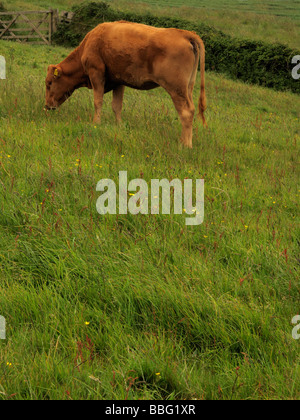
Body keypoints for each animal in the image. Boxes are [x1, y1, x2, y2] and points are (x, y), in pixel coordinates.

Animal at [44, 20, 206, 148]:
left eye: (49, 83)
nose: (47, 106)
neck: (91, 41)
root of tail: (185, 34)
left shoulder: (96, 73)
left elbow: (98, 101)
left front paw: (96, 122)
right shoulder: (118, 81)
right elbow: (117, 106)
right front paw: (119, 125)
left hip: (176, 89)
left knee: (186, 112)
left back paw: (185, 145)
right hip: (188, 88)